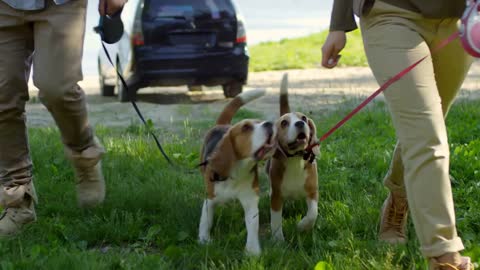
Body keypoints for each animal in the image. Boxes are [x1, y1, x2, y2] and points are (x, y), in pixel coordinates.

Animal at [198, 90, 274, 255]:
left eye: (260, 121)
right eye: (246, 127)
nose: (270, 123)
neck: (237, 171)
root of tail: (222, 125)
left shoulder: (250, 200)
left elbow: (252, 225)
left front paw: (252, 250)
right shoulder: (210, 198)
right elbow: (205, 220)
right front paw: (204, 240)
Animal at [266, 74, 318, 240]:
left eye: (304, 118)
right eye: (284, 123)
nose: (300, 123)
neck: (295, 159)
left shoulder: (312, 192)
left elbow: (313, 214)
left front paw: (302, 226)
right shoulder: (276, 197)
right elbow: (276, 220)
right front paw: (278, 240)